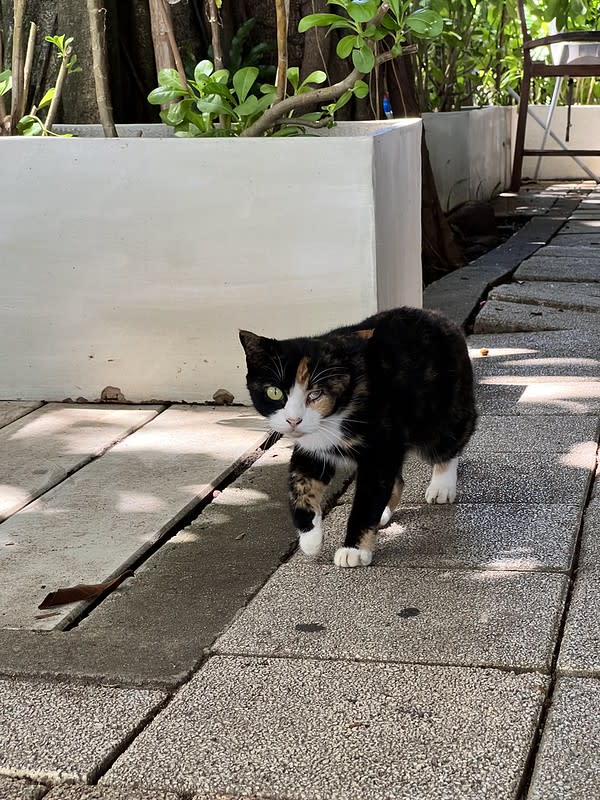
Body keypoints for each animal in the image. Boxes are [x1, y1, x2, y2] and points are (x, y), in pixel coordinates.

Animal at [239, 306, 478, 568]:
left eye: (316, 394)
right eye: (274, 392)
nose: (293, 420)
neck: (336, 414)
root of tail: (439, 316)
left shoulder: (379, 450)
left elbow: (366, 500)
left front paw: (353, 549)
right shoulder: (312, 448)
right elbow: (299, 484)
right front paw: (311, 539)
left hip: (441, 412)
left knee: (451, 441)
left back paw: (441, 486)